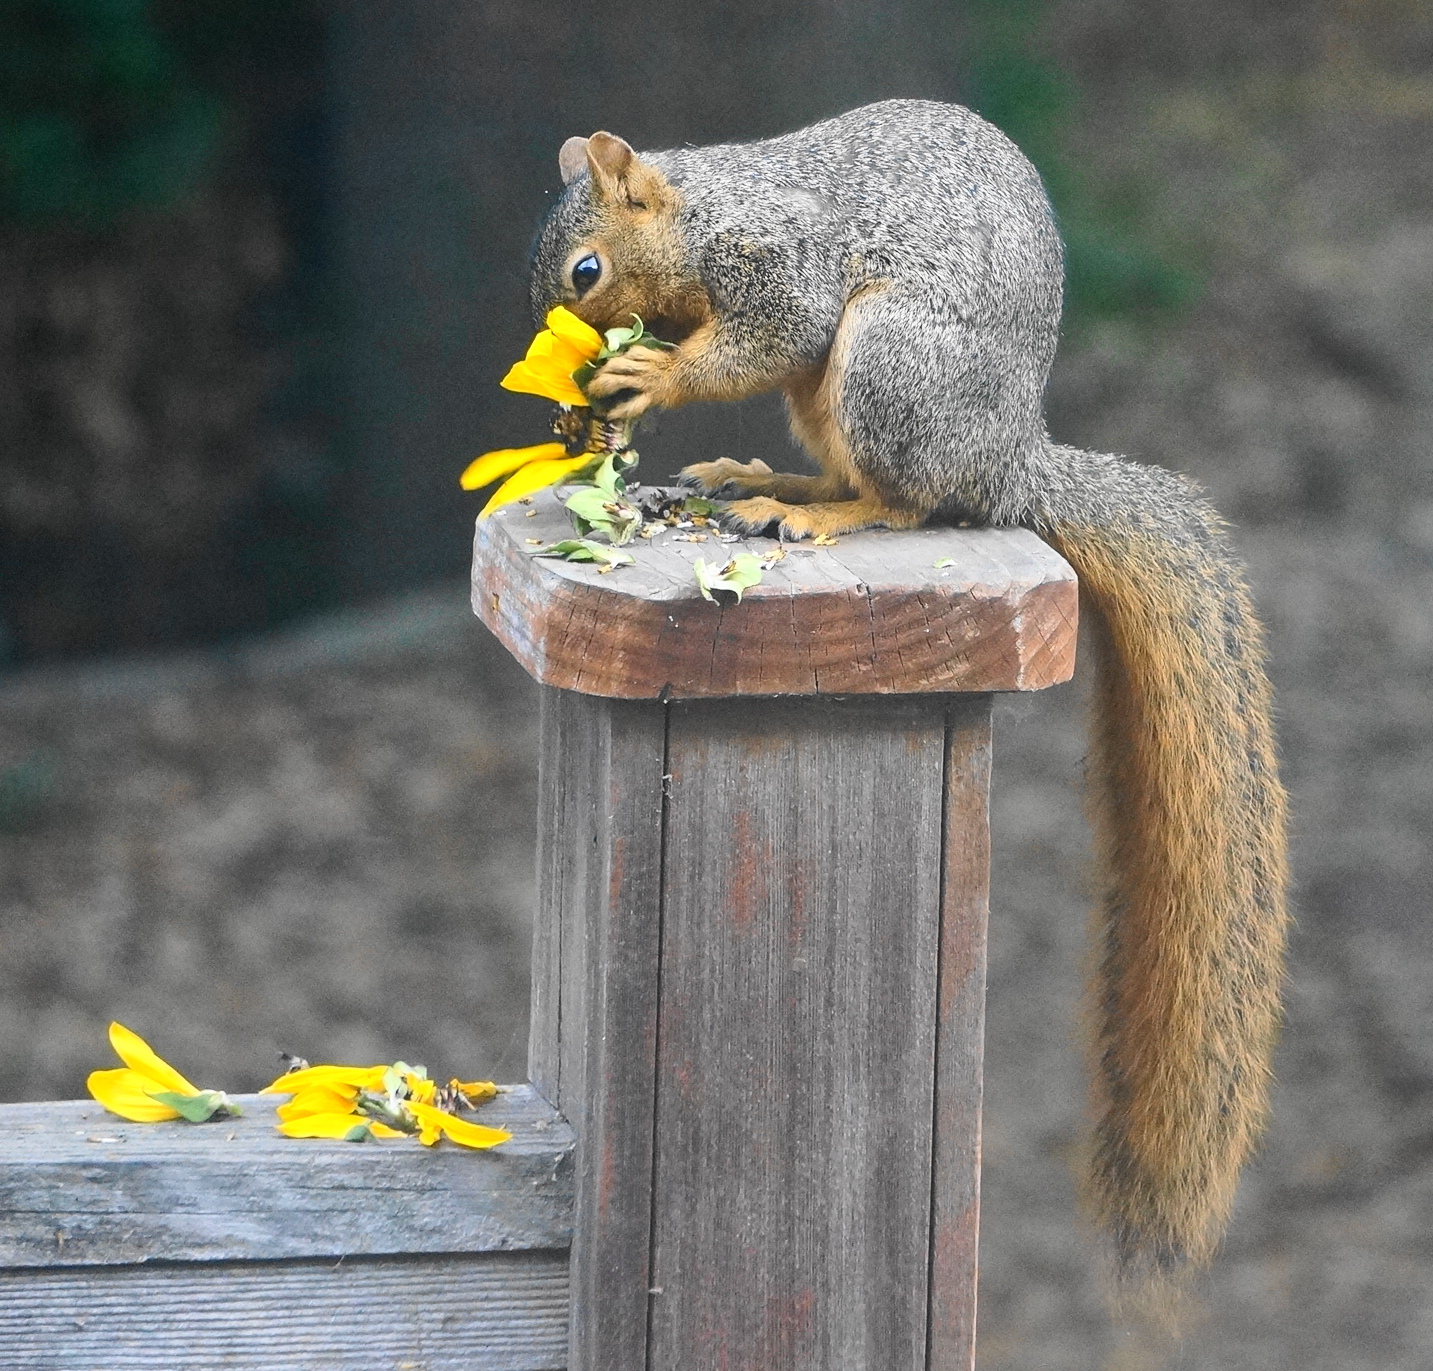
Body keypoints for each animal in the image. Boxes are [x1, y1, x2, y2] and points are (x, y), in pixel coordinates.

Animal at [524, 98, 1289, 1283]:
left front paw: (649, 381)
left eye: (586, 269)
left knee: (905, 501)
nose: (566, 377)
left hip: (888, 362)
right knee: (861, 473)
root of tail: (1010, 462)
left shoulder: (777, 264)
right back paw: (768, 482)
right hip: (832, 399)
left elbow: (764, 335)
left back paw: (814, 512)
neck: (699, 215)